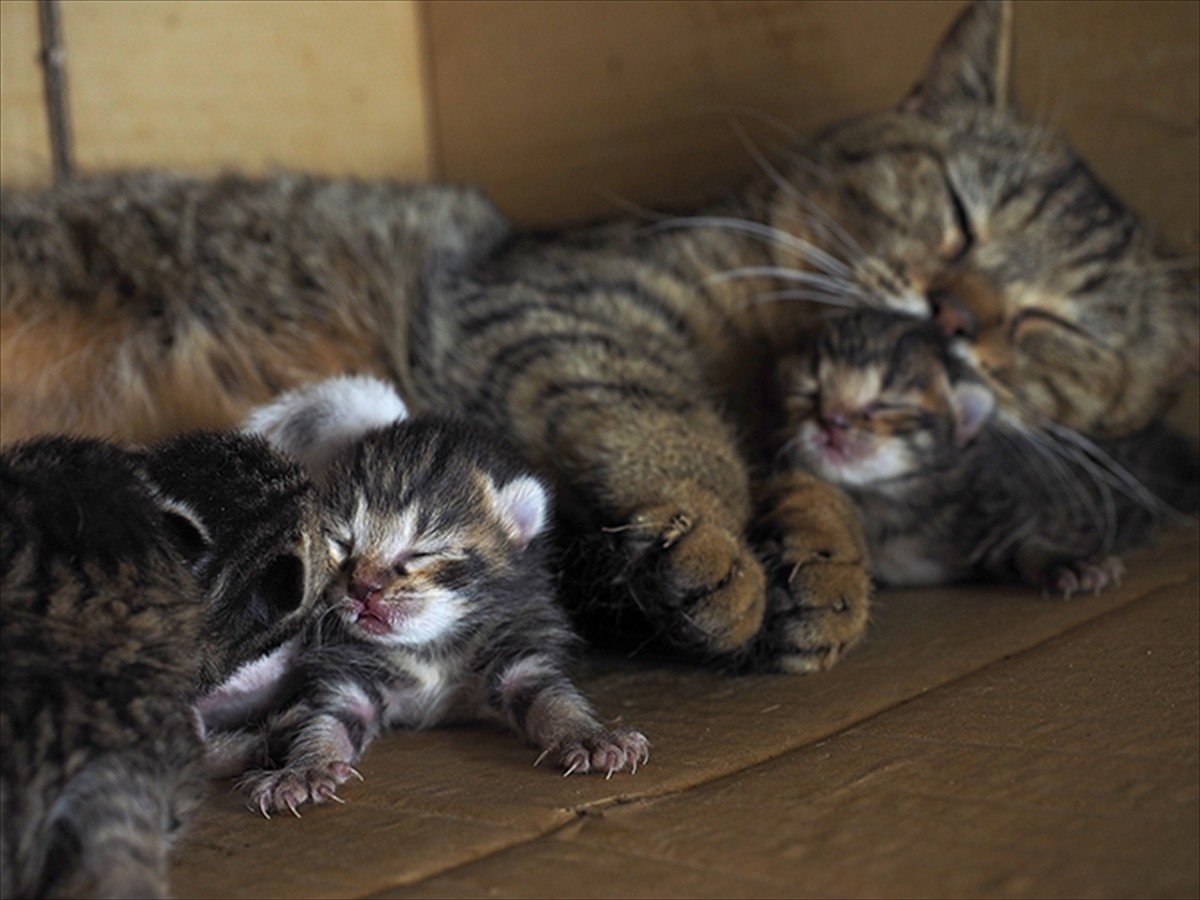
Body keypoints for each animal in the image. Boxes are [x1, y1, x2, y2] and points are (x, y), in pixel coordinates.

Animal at [768, 312, 1200, 600]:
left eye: (887, 404)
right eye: (808, 392)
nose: (831, 421)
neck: (886, 501)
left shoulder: (999, 511)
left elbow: (1029, 544)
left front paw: (1073, 565)